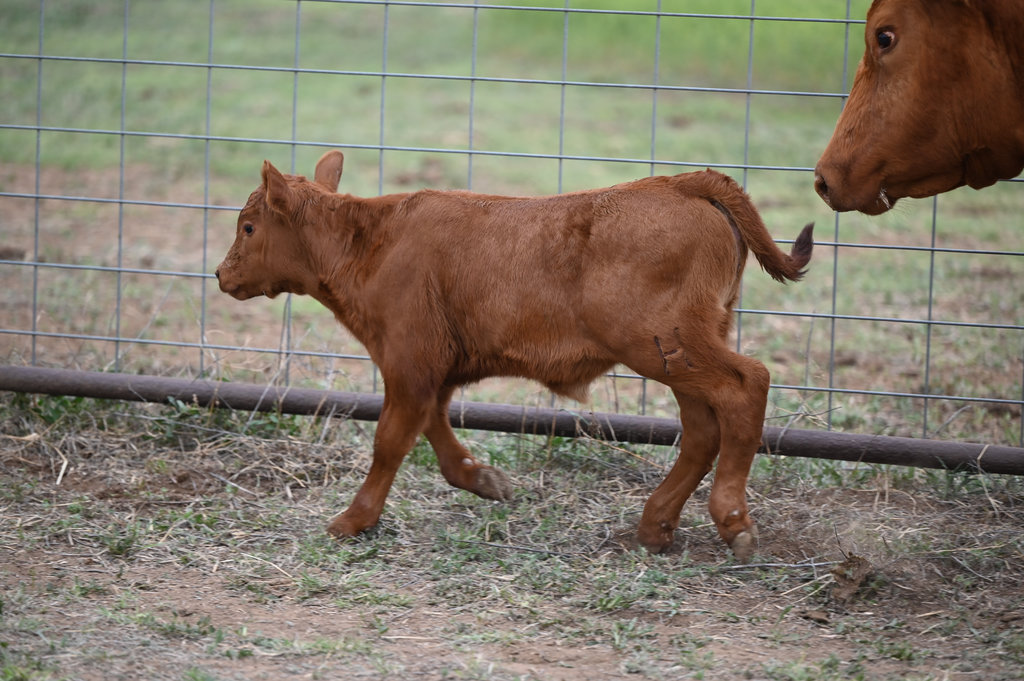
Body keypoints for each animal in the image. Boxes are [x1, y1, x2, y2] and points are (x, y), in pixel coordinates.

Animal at [215, 150, 813, 561]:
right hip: (678, 354)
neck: (372, 243)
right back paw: (655, 527)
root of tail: (679, 182)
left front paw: (352, 520)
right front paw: (485, 480)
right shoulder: (433, 366)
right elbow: (433, 428)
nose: (221, 274)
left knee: (747, 384)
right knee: (702, 429)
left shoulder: (409, 359)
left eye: (248, 226)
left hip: (666, 344)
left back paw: (732, 518)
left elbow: (390, 441)